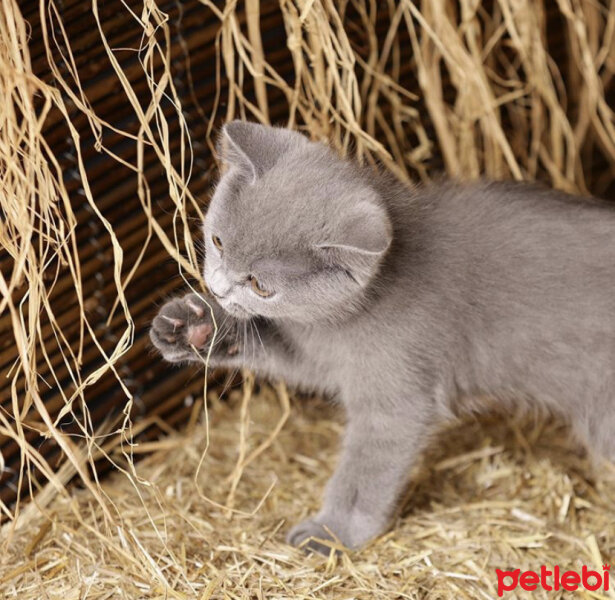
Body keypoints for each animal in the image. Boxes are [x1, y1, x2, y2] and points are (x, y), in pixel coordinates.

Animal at [152, 120, 615, 552]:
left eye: (260, 285)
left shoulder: (395, 396)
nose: (218, 288)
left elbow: (365, 472)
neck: (344, 319)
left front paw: (333, 531)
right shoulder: (321, 353)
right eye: (218, 241)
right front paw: (190, 325)